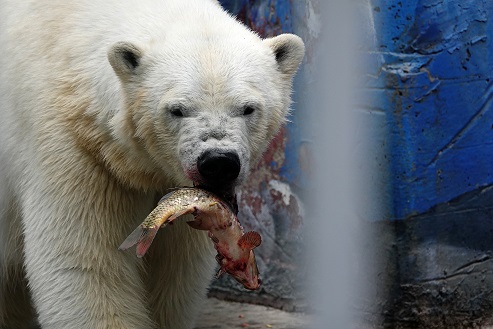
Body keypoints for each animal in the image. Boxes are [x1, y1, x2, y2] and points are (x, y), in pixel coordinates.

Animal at [0, 0, 304, 328]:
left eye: (248, 108)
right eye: (177, 109)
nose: (219, 163)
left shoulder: (174, 192)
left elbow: (174, 274)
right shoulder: (73, 146)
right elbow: (85, 265)